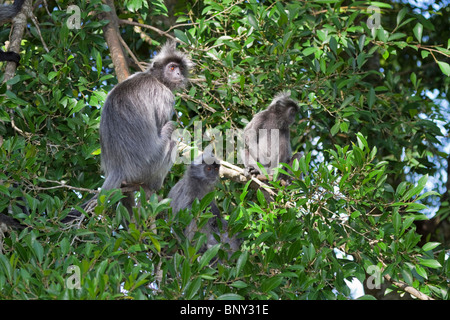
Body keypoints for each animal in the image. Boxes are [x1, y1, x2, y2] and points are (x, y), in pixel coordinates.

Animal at [62, 42, 192, 222]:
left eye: (180, 68)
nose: (178, 73)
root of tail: (117, 167)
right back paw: (154, 185)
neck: (154, 77)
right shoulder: (164, 96)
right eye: (172, 67)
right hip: (147, 165)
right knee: (172, 132)